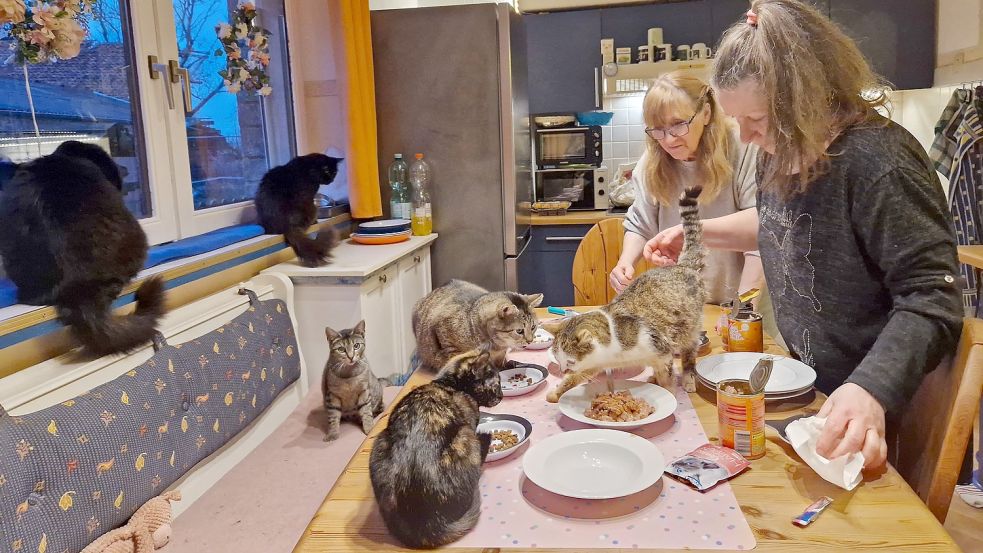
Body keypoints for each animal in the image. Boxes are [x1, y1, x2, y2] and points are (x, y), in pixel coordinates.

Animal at [372, 348, 504, 548]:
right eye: (497, 384)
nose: (502, 396)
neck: (449, 383)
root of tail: (426, 523)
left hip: (379, 443)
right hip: (466, 435)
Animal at [540, 185, 708, 402]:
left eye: (569, 361)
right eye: (557, 359)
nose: (562, 370)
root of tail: (682, 265)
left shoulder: (662, 351)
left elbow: (667, 378)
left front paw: (668, 394)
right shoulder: (593, 364)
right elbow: (575, 379)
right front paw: (556, 393)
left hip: (689, 328)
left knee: (688, 356)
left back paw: (687, 380)